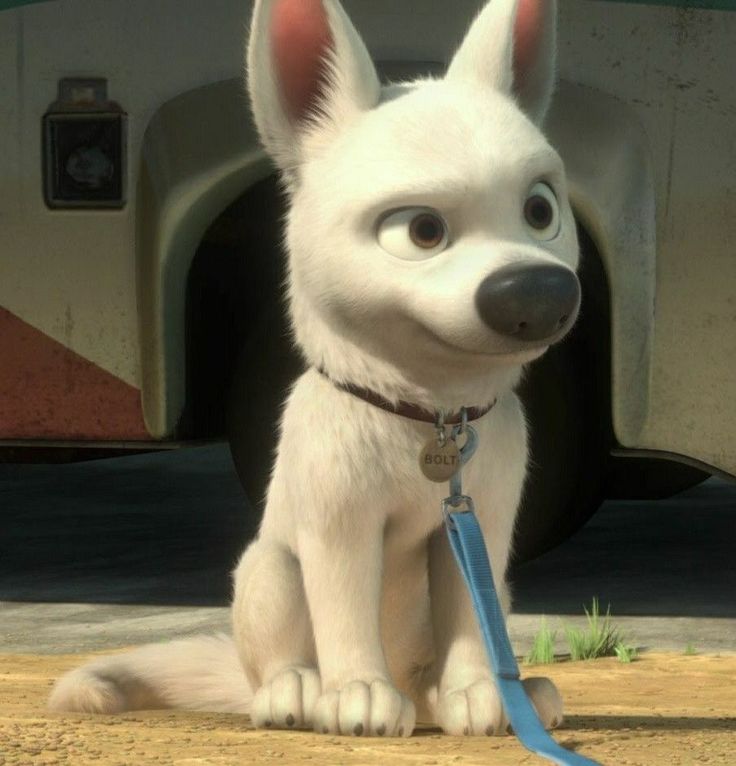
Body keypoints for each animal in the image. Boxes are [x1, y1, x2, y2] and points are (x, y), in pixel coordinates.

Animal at [50, 0, 580, 744]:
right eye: (422, 230)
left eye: (540, 210)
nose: (539, 291)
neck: (425, 415)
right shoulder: (338, 523)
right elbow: (343, 614)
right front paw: (357, 694)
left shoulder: (481, 527)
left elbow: (471, 623)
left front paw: (480, 693)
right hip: (267, 568)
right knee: (276, 662)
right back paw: (298, 691)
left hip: (495, 585)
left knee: (449, 657)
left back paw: (493, 692)